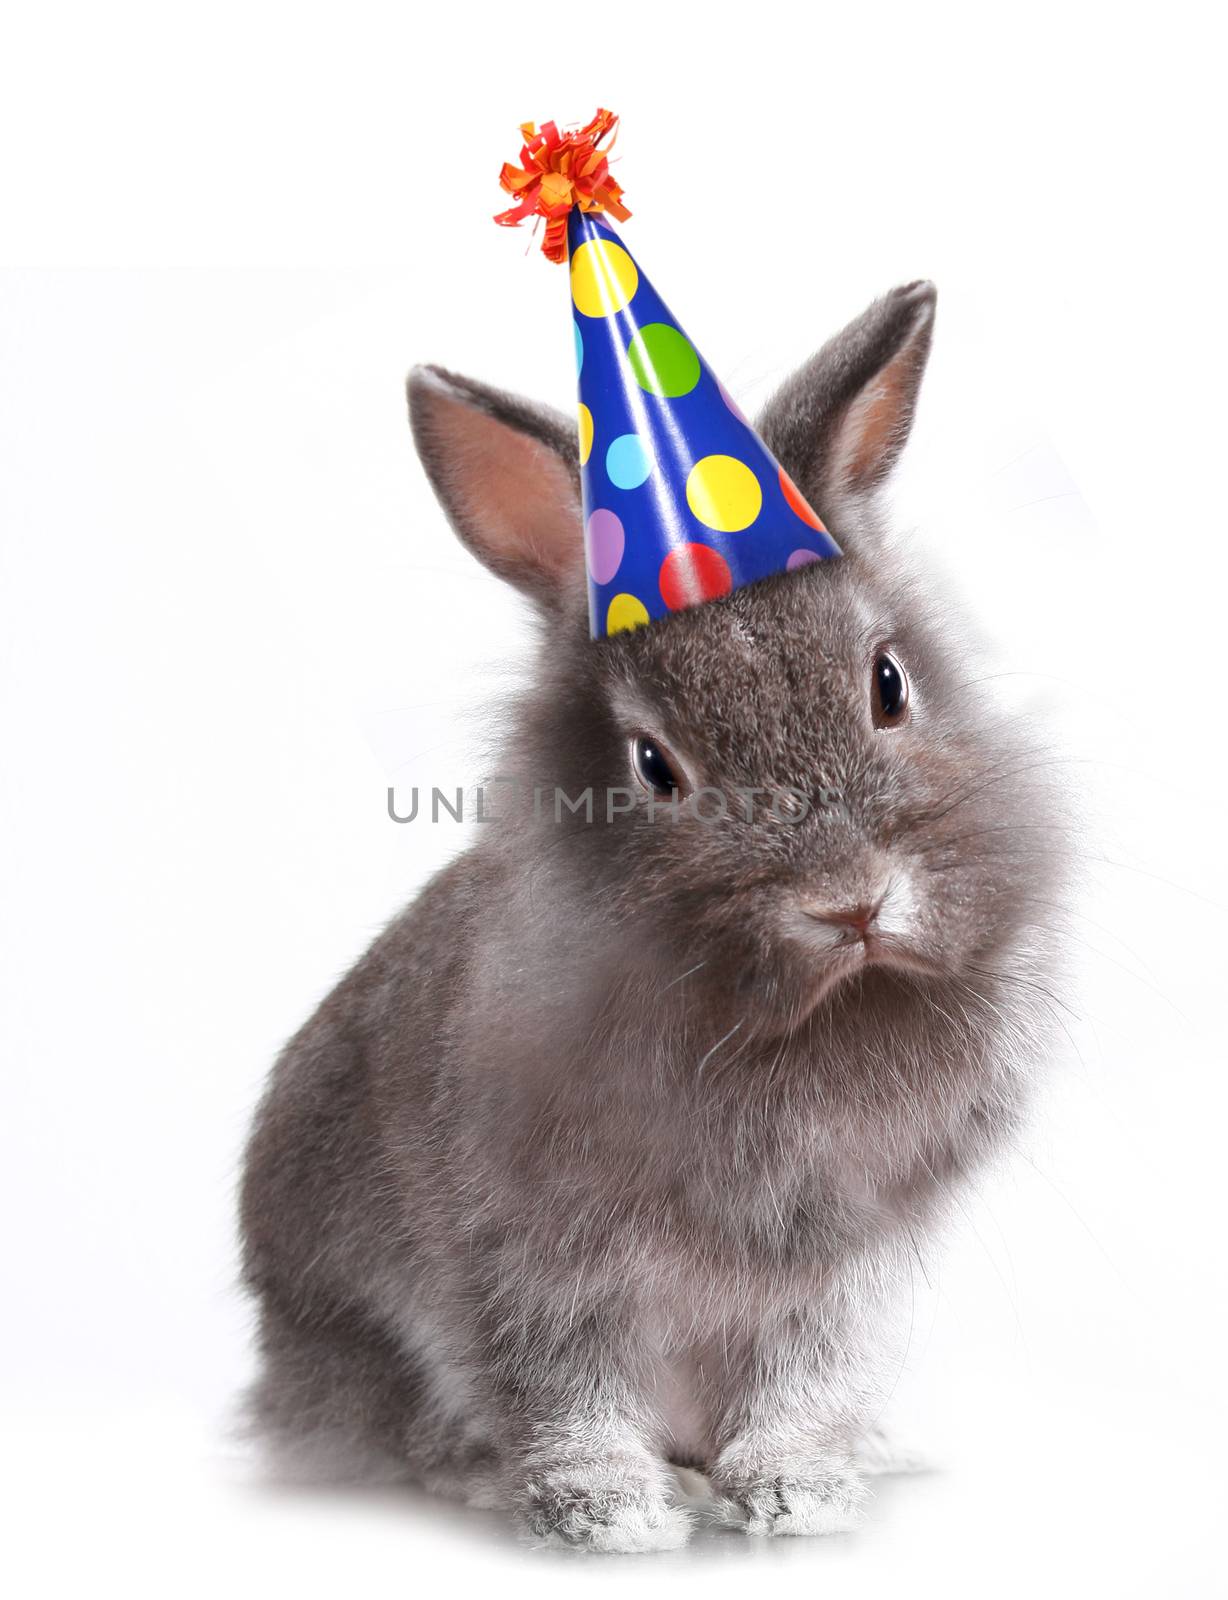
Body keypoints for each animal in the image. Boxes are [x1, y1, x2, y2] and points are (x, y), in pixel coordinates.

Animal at [236, 284, 1061, 1548]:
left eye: (888, 682)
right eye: (651, 764)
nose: (850, 902)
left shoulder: (838, 1269)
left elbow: (800, 1375)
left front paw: (797, 1489)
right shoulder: (525, 1259)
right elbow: (559, 1384)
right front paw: (606, 1512)